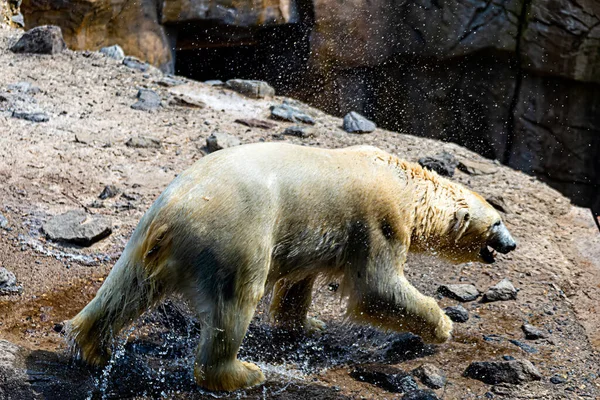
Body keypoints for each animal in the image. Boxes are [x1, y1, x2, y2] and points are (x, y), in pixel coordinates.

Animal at [67, 143, 516, 390]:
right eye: (497, 222)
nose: (510, 244)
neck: (404, 184)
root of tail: (173, 215)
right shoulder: (379, 222)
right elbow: (377, 288)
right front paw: (443, 326)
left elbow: (299, 283)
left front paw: (307, 324)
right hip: (235, 236)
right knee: (234, 303)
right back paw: (241, 373)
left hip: (147, 238)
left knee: (125, 288)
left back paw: (93, 344)